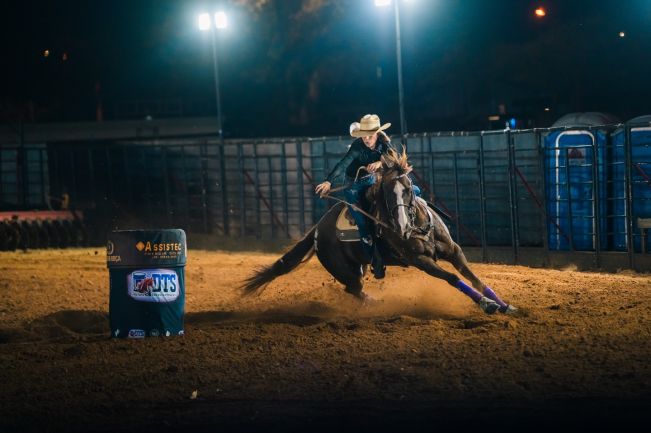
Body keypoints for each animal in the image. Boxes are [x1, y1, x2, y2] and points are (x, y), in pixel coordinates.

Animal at [243, 148, 516, 315]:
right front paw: (487, 305)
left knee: (354, 290)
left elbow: (474, 278)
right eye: (385, 193)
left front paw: (503, 304)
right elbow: (452, 278)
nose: (401, 228)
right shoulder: (421, 261)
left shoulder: (454, 251)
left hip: (358, 267)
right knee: (354, 290)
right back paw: (378, 304)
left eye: (408, 189)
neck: (418, 227)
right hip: (344, 270)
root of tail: (317, 230)